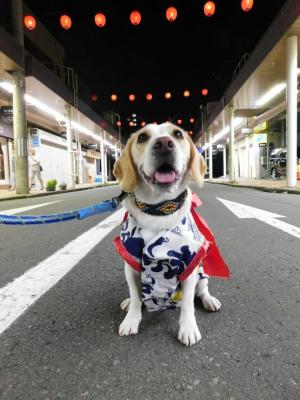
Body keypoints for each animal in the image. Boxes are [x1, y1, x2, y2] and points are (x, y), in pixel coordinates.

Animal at [113, 122, 229, 346]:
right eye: (142, 137)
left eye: (178, 134)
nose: (164, 144)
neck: (159, 209)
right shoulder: (130, 264)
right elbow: (135, 296)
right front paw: (131, 319)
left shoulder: (189, 265)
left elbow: (188, 304)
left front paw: (188, 328)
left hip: (202, 273)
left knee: (202, 290)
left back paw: (209, 300)